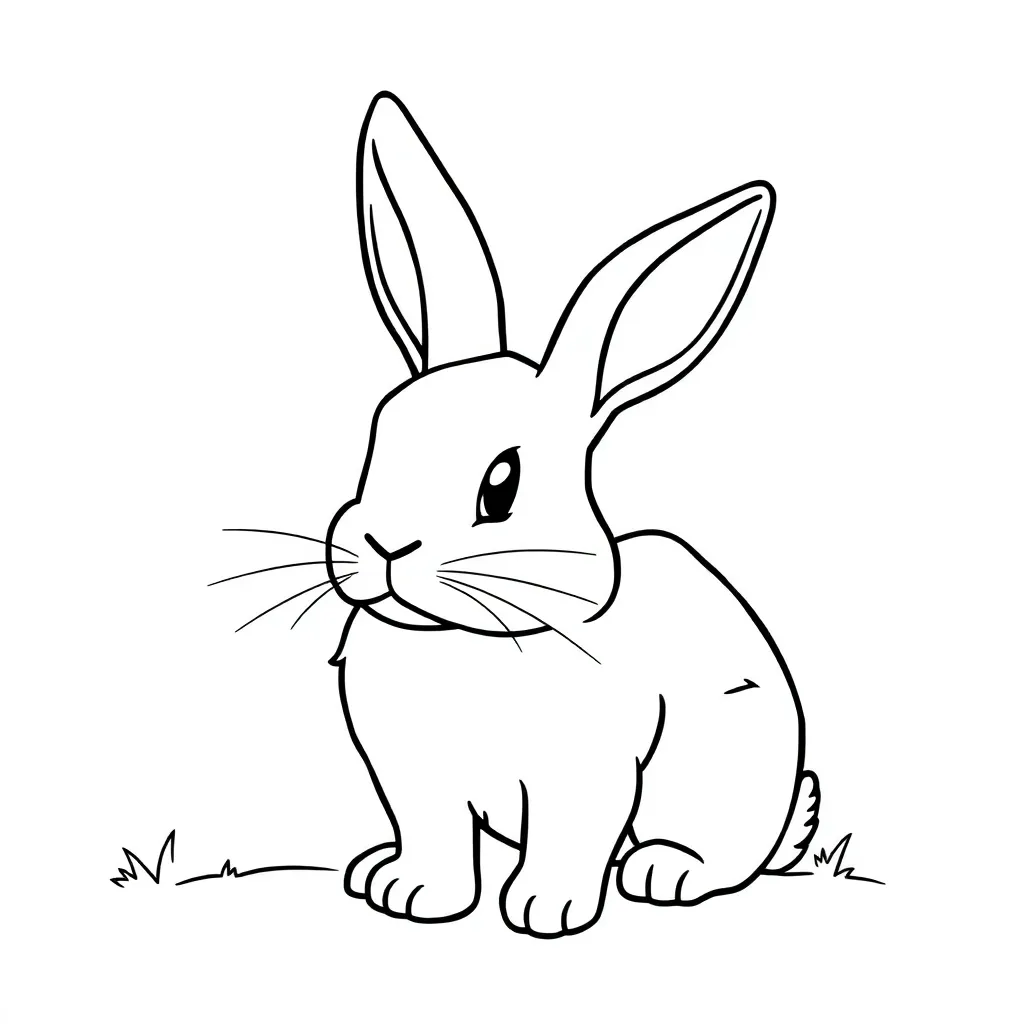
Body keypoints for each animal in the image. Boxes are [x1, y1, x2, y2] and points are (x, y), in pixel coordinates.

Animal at [326, 92, 819, 937]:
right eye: (379, 438)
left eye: (502, 486)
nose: (386, 546)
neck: (469, 641)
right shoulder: (415, 781)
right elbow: (433, 841)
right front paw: (410, 894)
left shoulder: (587, 773)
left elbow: (571, 836)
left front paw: (544, 911)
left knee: (715, 852)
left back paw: (663, 870)